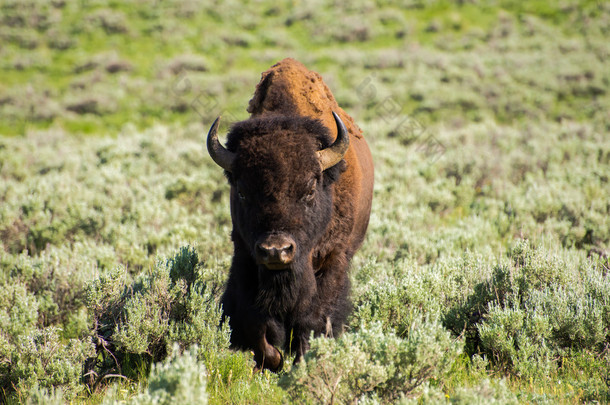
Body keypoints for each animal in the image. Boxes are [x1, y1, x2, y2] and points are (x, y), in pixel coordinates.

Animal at [207, 58, 372, 370]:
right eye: (242, 192)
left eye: (309, 189)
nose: (276, 250)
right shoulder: (245, 255)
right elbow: (256, 321)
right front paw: (273, 359)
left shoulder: (332, 259)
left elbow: (312, 318)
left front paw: (302, 359)